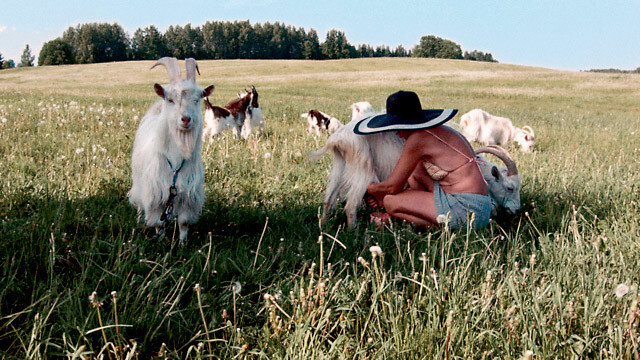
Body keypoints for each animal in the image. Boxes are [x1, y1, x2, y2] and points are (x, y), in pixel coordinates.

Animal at [127, 57, 215, 243]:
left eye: (198, 98)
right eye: (170, 99)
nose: (186, 119)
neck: (174, 162)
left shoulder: (188, 196)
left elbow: (183, 223)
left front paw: (182, 244)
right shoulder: (155, 195)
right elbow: (158, 223)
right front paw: (160, 241)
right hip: (138, 182)